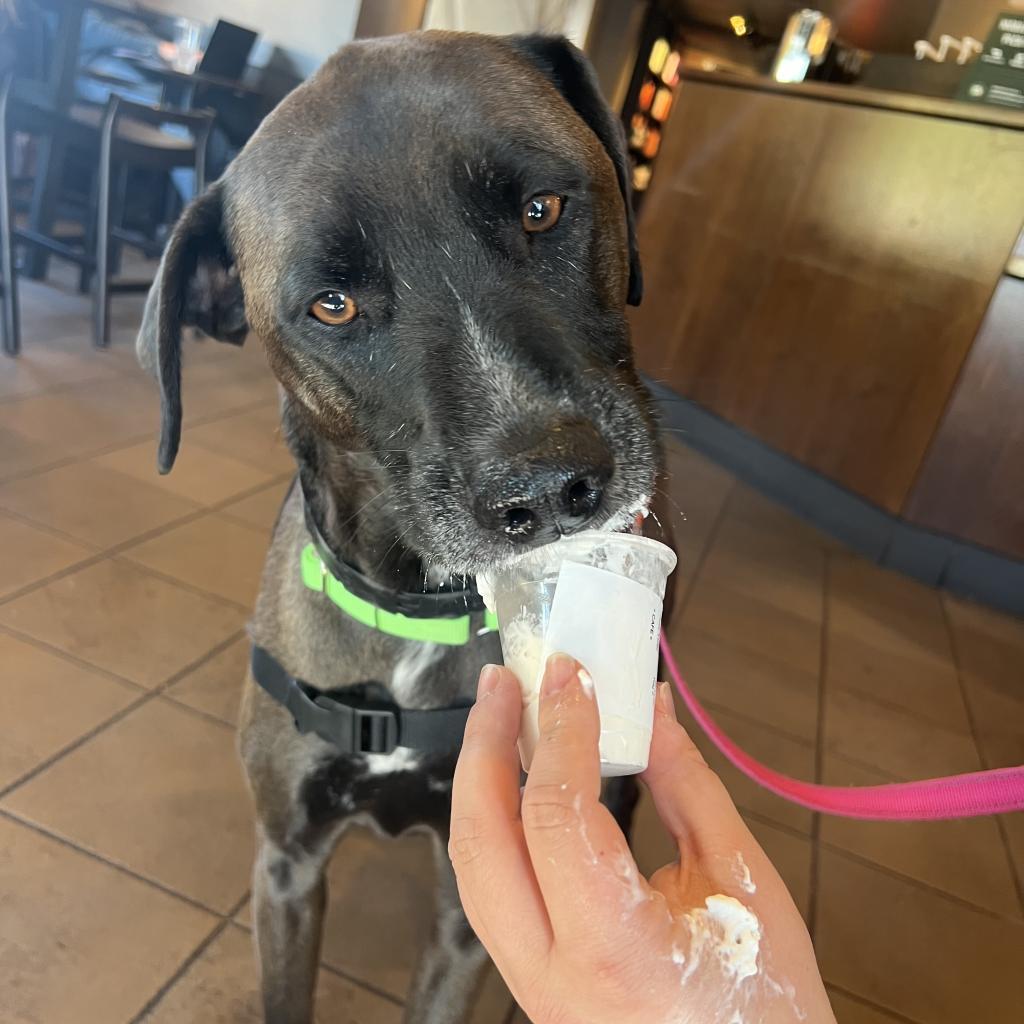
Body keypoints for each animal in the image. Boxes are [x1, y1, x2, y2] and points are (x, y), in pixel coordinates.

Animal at [138, 32, 671, 1024]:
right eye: (332, 304)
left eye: (542, 208)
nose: (548, 488)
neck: (416, 613)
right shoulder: (287, 863)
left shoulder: (480, 899)